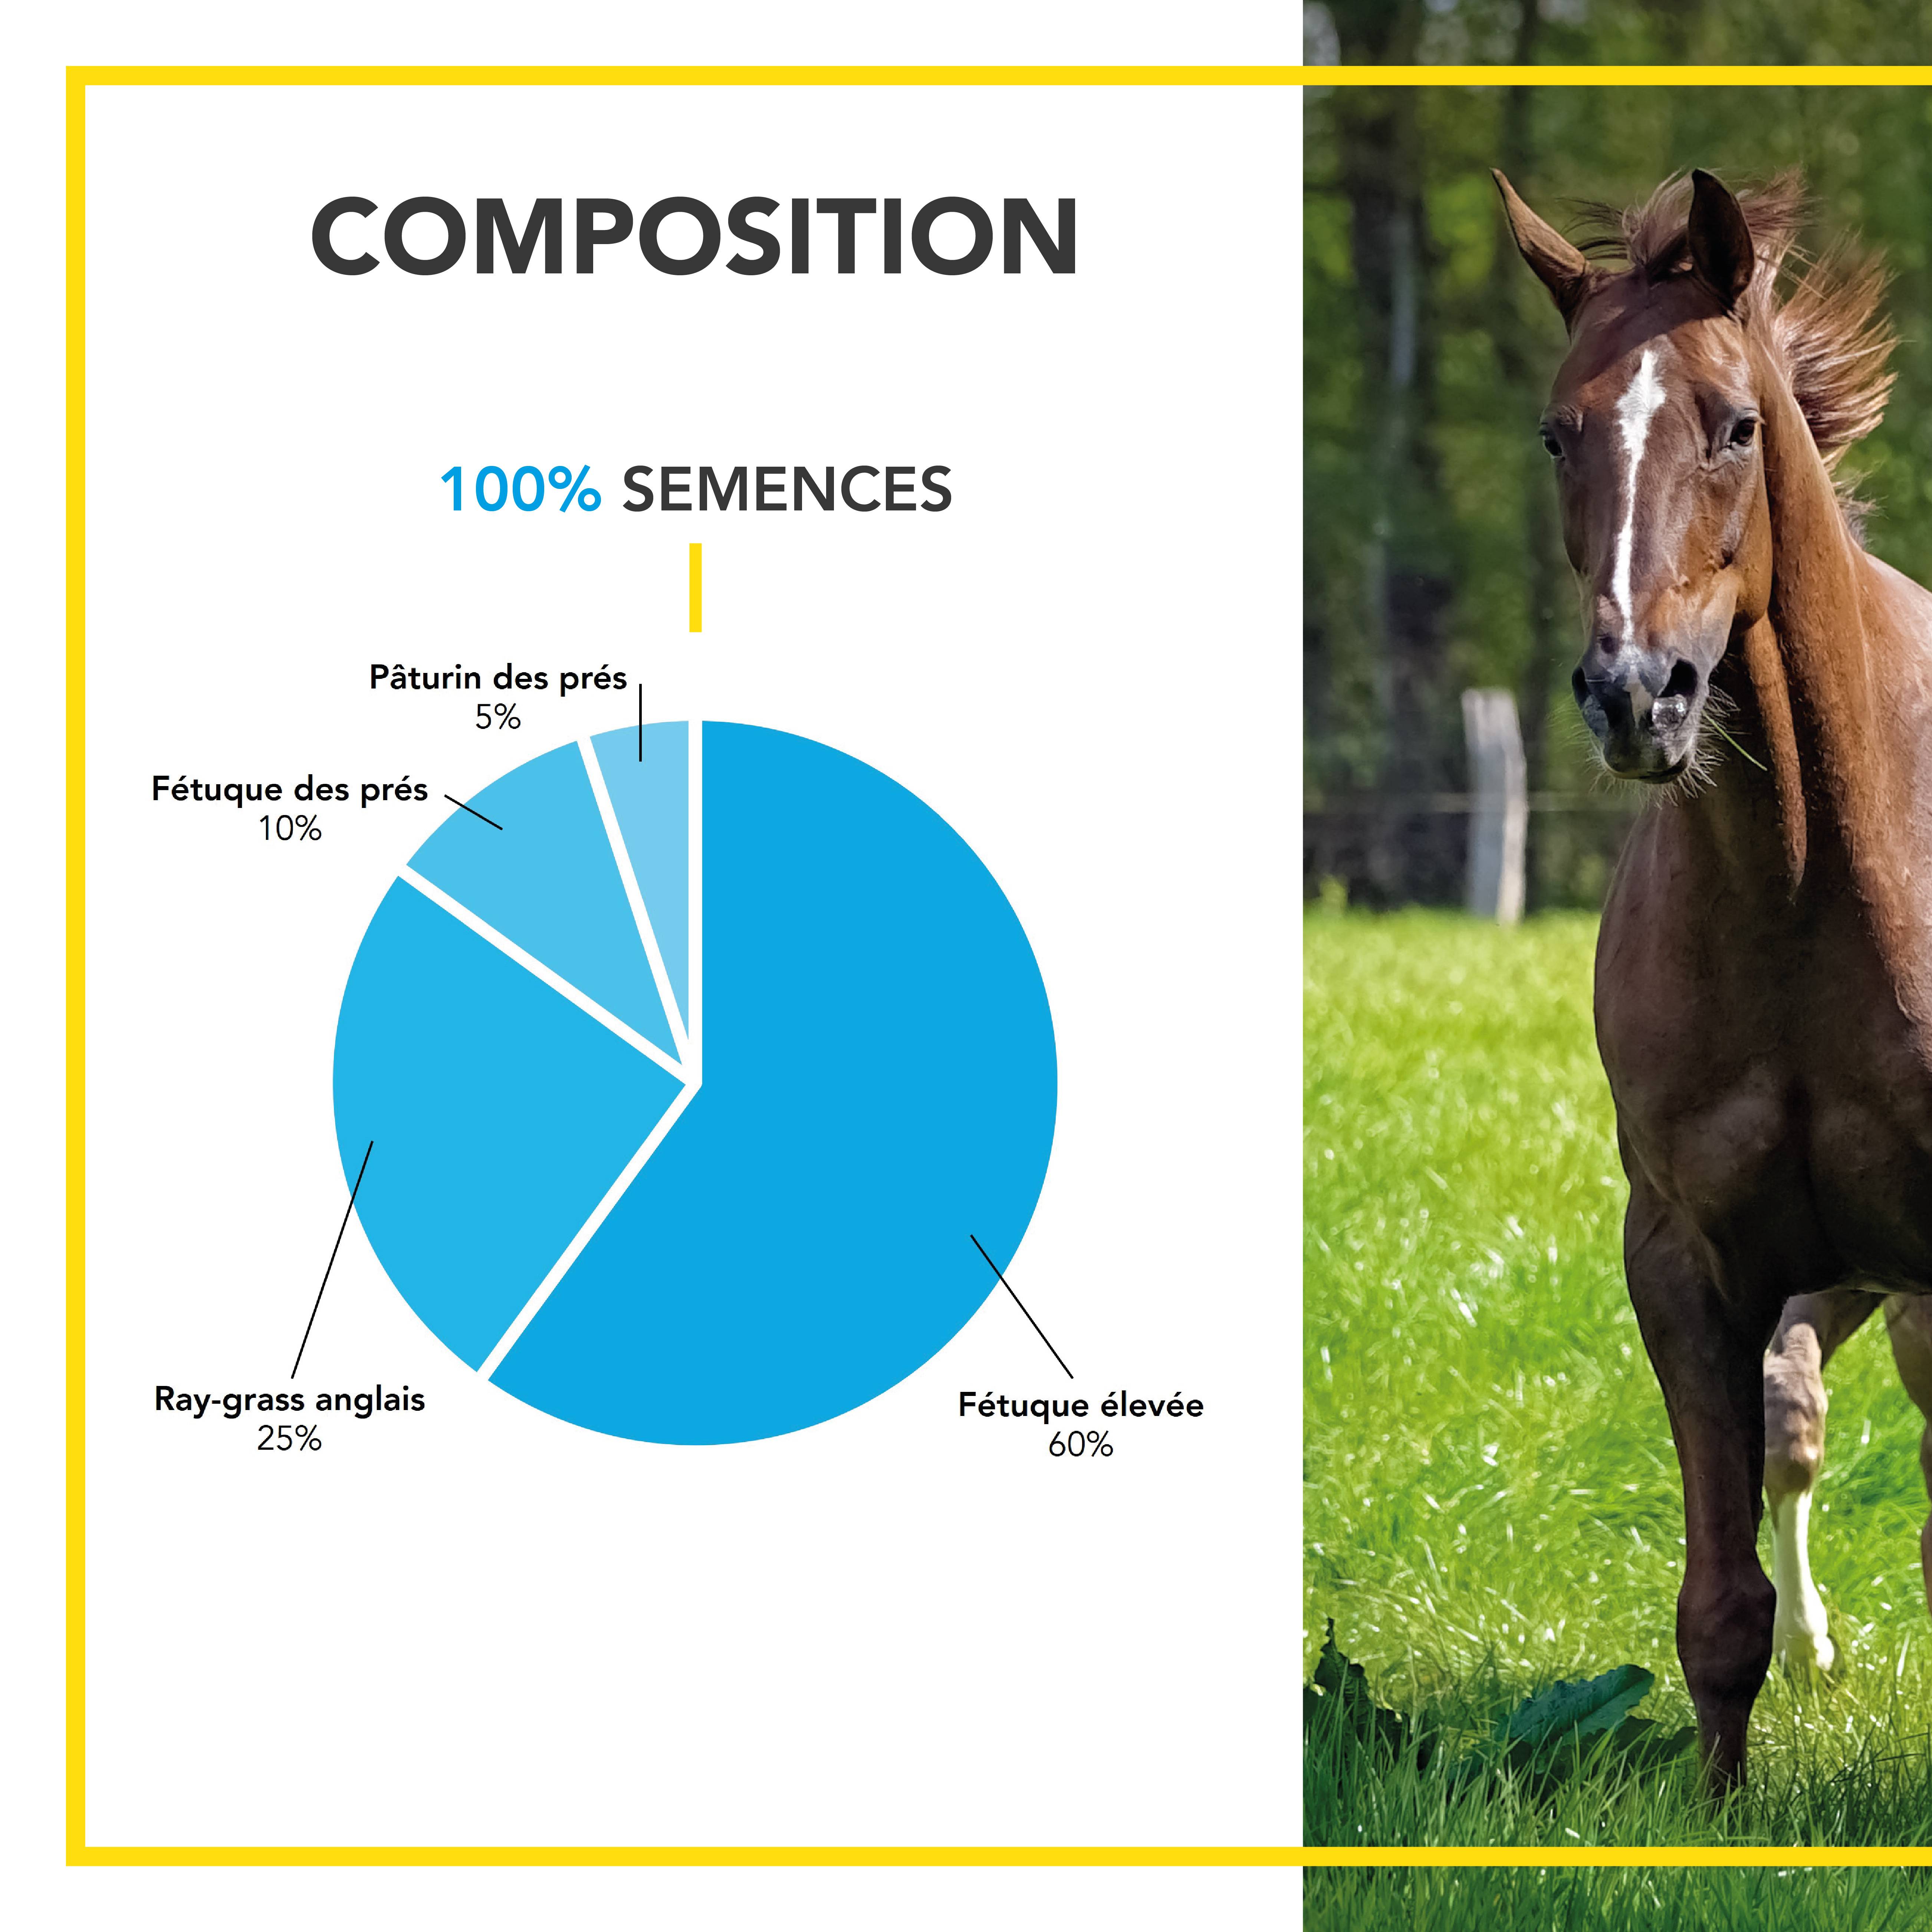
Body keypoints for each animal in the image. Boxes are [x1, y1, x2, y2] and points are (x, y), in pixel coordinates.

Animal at [1495, 165, 1932, 1789]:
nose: (1639, 696)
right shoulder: (1687, 1256)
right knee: (1795, 1413)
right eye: (1557, 429)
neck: (1805, 886)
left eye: (1733, 426)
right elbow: (1717, 1602)